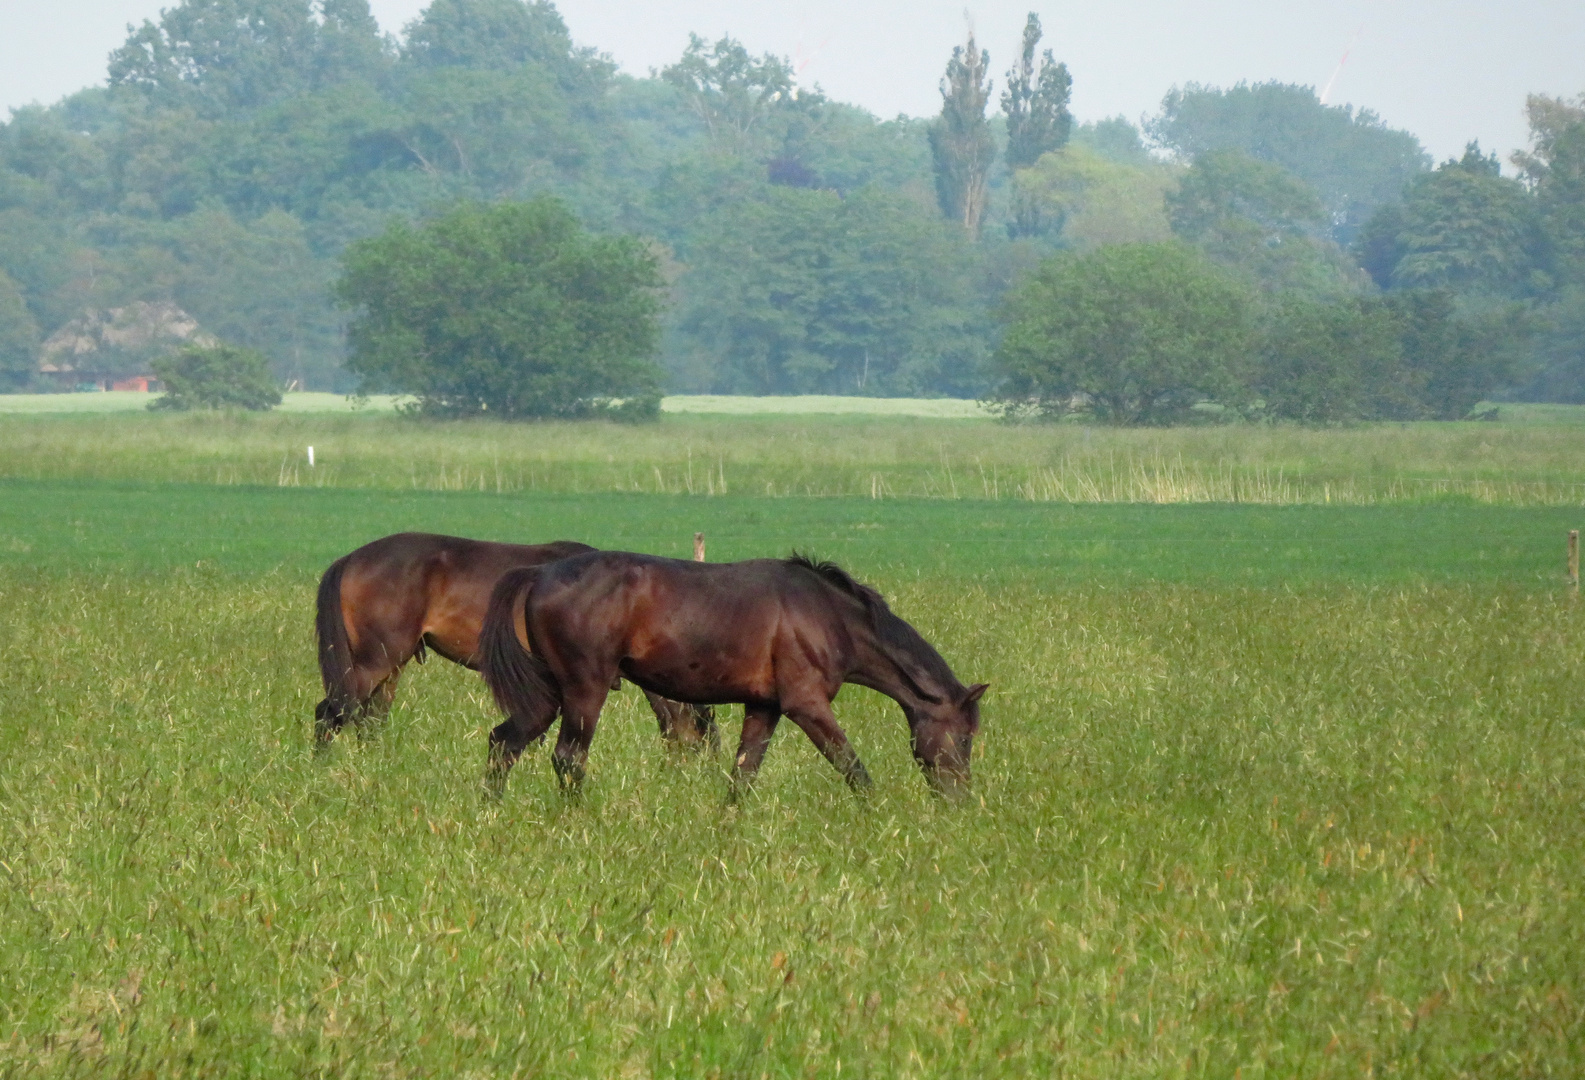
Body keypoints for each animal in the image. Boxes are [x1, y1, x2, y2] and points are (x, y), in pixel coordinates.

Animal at [310, 529, 719, 748]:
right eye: (704, 723)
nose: (707, 763)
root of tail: (351, 559)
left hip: (392, 664)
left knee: (367, 721)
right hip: (375, 661)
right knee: (330, 713)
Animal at [475, 551, 982, 796]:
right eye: (964, 737)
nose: (959, 801)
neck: (827, 615)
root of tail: (539, 573)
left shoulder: (764, 706)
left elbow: (743, 775)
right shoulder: (807, 705)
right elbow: (853, 769)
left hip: (547, 696)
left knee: (504, 742)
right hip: (584, 691)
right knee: (567, 759)